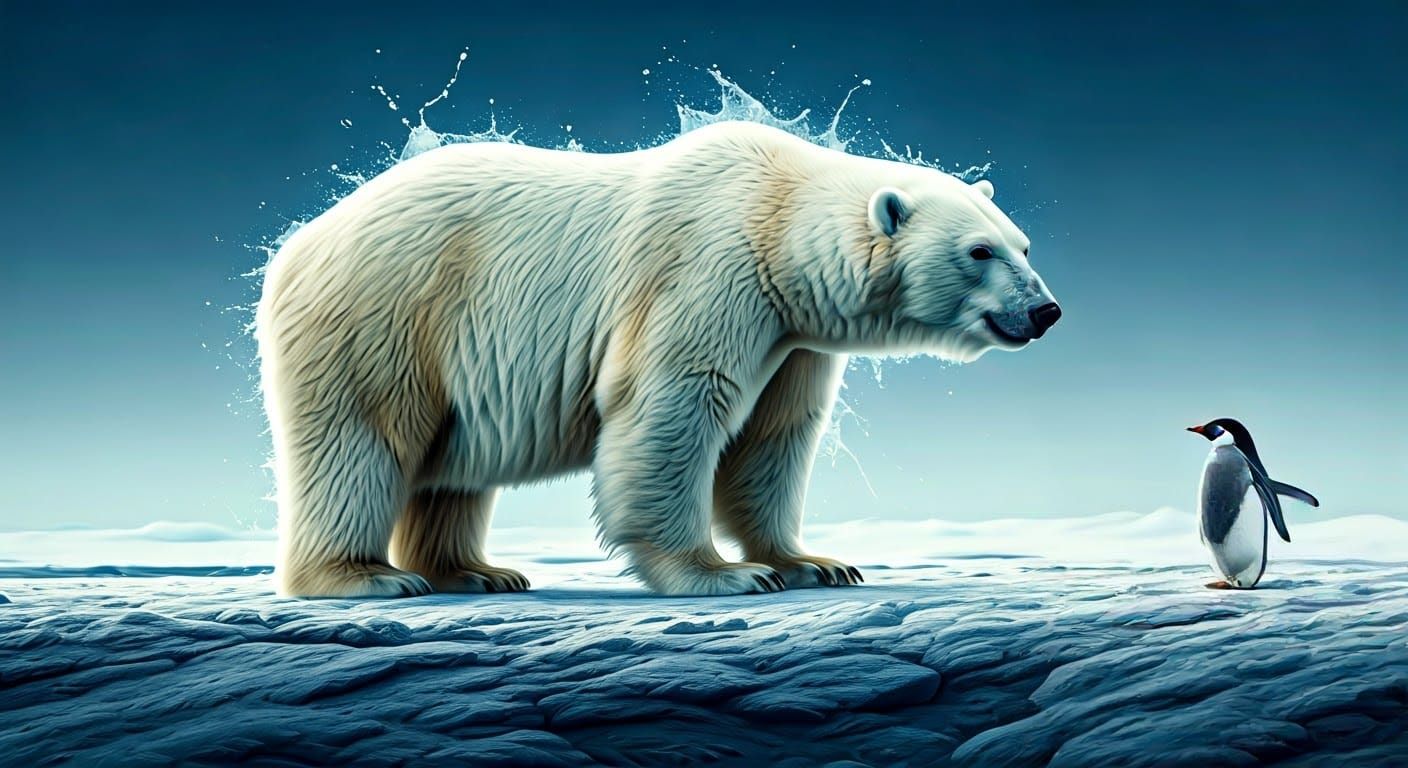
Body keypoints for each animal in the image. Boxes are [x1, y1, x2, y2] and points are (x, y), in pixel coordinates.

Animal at [256, 120, 1060, 598]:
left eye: (1022, 244)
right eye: (978, 252)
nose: (1045, 311)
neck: (774, 213)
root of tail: (300, 242)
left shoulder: (792, 336)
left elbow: (773, 436)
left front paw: (814, 562)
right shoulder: (706, 271)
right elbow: (672, 409)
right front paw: (724, 574)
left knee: (453, 469)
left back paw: (478, 572)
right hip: (386, 313)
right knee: (361, 441)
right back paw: (367, 577)